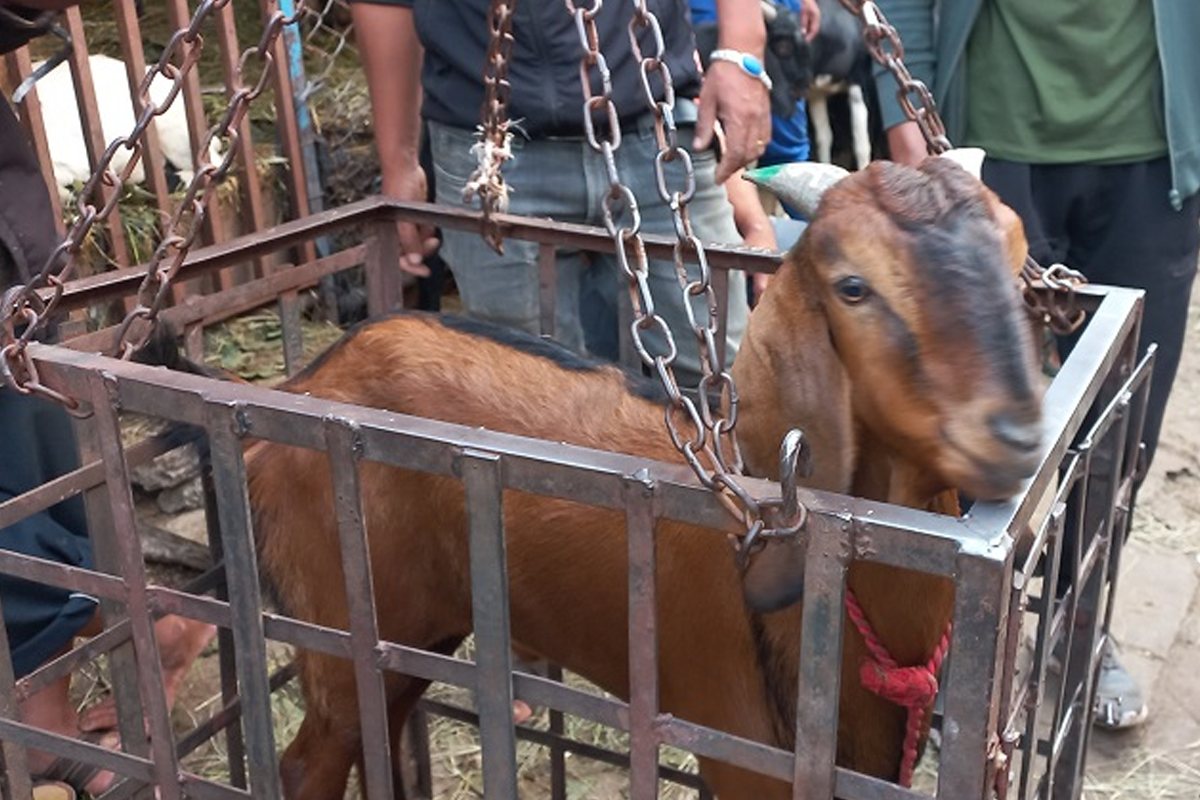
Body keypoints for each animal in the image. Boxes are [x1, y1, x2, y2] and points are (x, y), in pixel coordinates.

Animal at [246, 158, 1041, 800]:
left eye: (1018, 257)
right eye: (853, 287)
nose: (1018, 434)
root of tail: (306, 380)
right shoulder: (744, 753)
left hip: (413, 636)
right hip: (337, 625)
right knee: (310, 762)